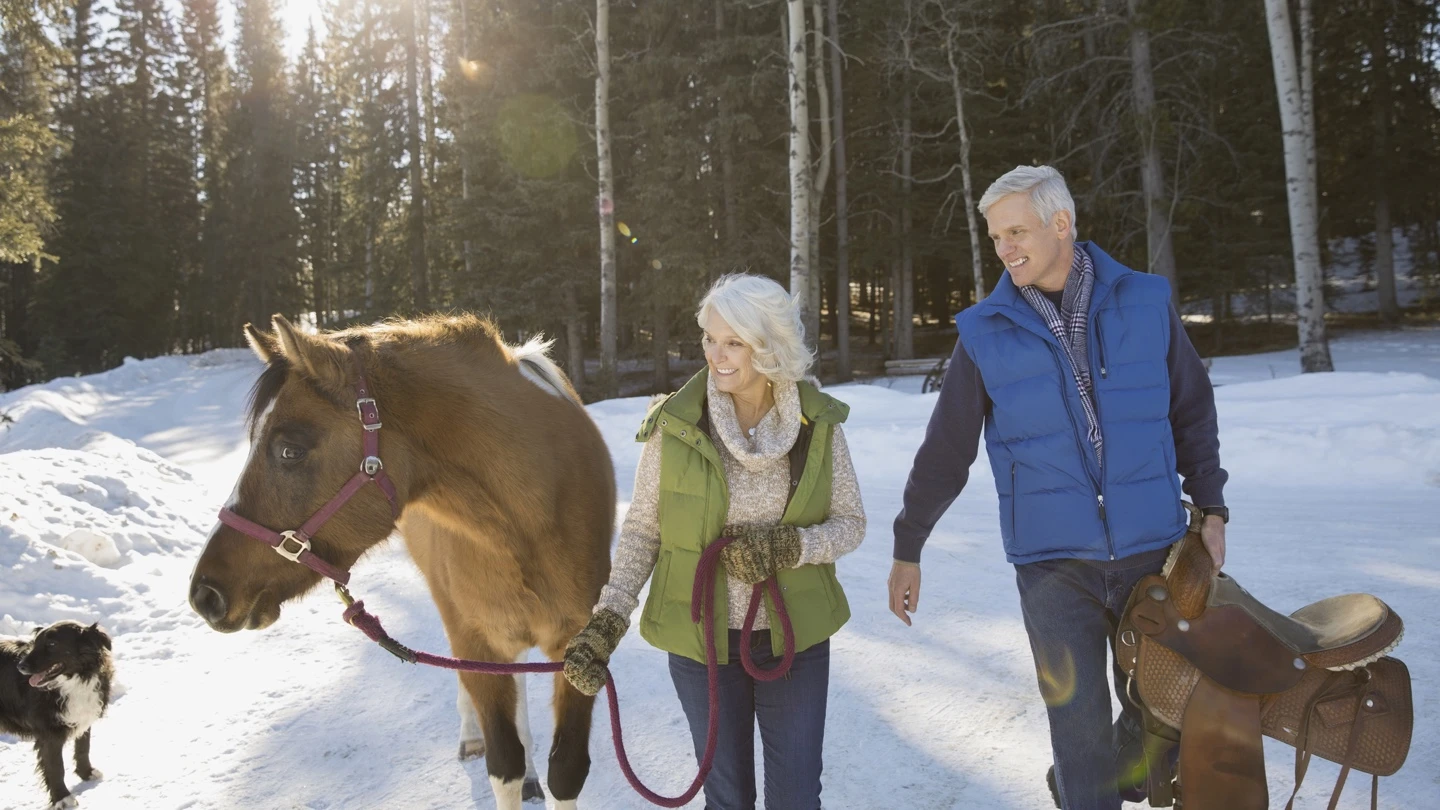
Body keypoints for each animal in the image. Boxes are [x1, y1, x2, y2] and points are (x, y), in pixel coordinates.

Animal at [0, 619, 113, 801]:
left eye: (52, 644)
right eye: (35, 643)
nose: (20, 666)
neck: (74, 681)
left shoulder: (84, 718)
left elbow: (83, 749)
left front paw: (86, 773)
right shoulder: (49, 733)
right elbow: (56, 766)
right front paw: (62, 797)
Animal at [187, 312, 613, 801]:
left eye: (290, 449)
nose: (205, 593)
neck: (530, 526)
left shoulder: (579, 648)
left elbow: (566, 770)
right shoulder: (475, 638)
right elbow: (503, 763)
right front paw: (508, 763)